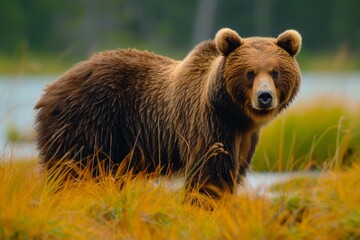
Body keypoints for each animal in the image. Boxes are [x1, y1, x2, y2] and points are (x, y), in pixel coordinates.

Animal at [35, 27, 300, 198]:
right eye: (250, 73)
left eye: (275, 72)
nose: (264, 97)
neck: (233, 113)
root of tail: (51, 88)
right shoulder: (207, 123)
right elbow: (210, 173)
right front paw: (205, 203)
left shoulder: (243, 138)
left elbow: (233, 172)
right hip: (86, 121)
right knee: (73, 169)